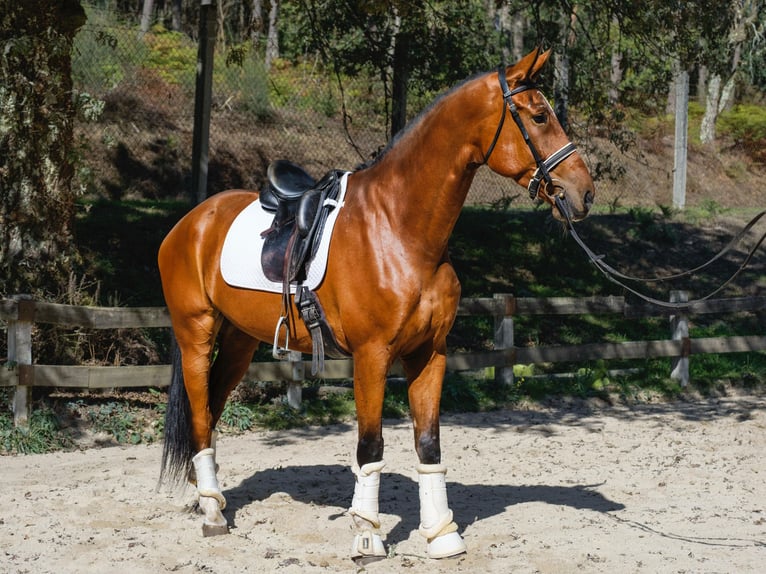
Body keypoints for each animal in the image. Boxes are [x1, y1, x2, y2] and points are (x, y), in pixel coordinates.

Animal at [158, 48, 595, 561]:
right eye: (540, 116)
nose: (584, 192)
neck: (399, 227)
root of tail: (189, 223)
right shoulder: (371, 355)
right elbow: (370, 446)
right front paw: (367, 535)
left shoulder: (429, 352)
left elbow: (429, 442)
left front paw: (442, 535)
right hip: (196, 334)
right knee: (200, 414)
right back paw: (212, 515)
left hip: (239, 342)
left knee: (209, 411)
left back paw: (208, 496)